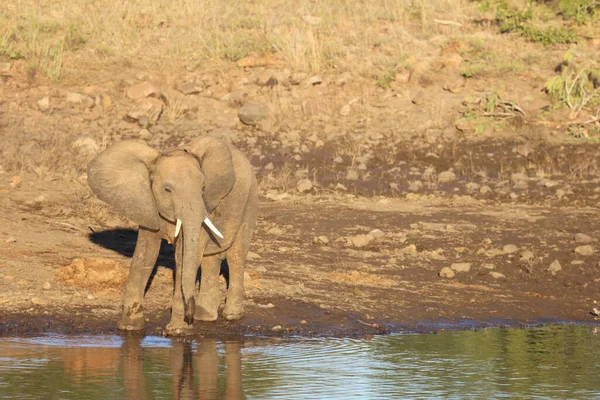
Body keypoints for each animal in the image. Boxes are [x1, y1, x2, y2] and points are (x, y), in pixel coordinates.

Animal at [86, 136, 258, 336]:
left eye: (203, 188)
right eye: (167, 190)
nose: (189, 314)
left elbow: (183, 257)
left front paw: (177, 332)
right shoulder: (147, 204)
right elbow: (145, 255)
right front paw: (129, 327)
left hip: (250, 199)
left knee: (236, 256)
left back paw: (231, 315)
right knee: (211, 259)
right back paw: (204, 316)